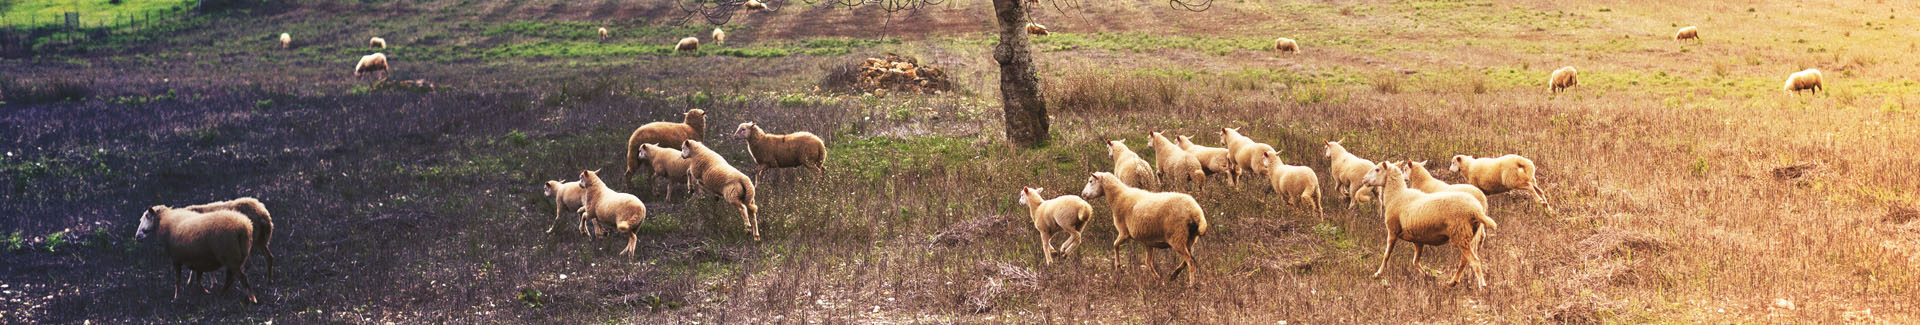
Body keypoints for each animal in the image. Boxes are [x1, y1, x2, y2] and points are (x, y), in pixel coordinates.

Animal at [1351, 162, 1497, 286]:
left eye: (1377, 169)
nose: (1364, 179)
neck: (1397, 196)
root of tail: (1476, 210)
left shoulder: (1393, 231)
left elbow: (1386, 255)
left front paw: (1378, 274)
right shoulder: (1418, 240)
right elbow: (1415, 262)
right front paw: (1428, 275)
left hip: (1461, 234)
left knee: (1475, 261)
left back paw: (1482, 286)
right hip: (1467, 236)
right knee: (1465, 260)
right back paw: (1453, 282)